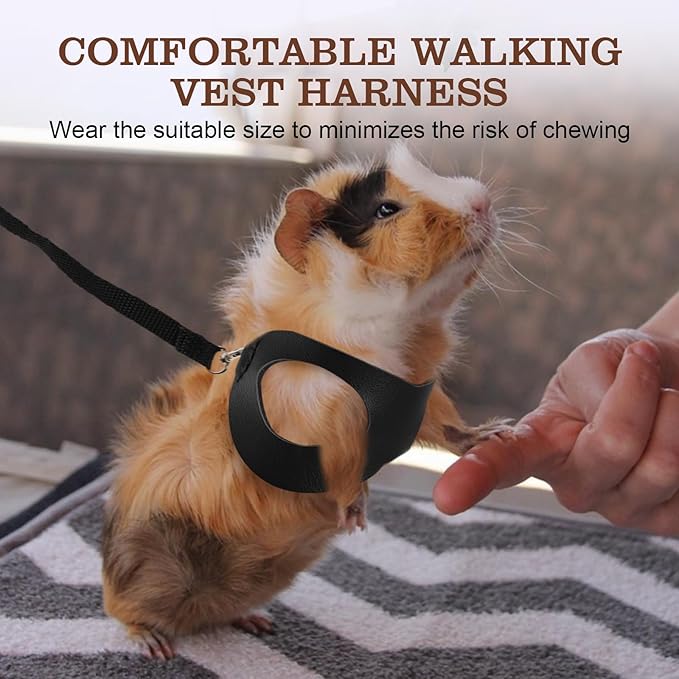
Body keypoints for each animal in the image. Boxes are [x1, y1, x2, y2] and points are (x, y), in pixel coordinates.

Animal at [101, 145, 506, 659]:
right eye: (386, 209)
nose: (482, 202)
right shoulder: (327, 417)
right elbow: (346, 467)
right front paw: (356, 517)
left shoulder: (423, 397)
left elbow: (448, 428)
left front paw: (496, 433)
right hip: (146, 575)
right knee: (123, 613)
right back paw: (156, 646)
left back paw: (257, 623)